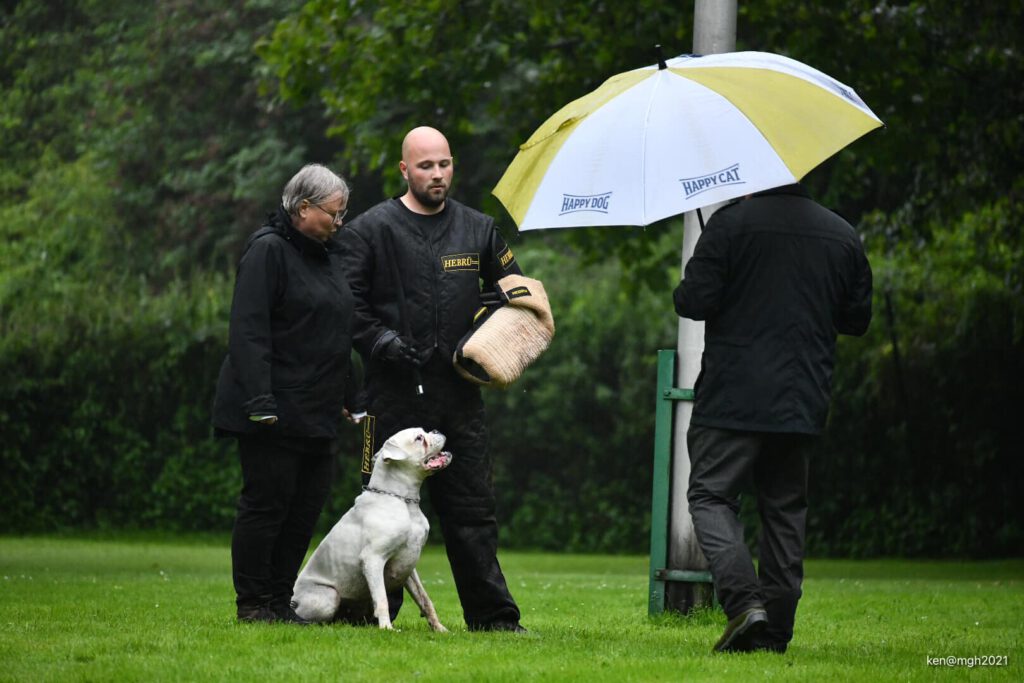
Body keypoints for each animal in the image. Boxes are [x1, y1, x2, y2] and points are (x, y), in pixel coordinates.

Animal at [288, 428, 448, 630]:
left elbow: (424, 599)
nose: (435, 430)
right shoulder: (373, 559)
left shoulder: (409, 564)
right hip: (328, 597)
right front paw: (387, 628)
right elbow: (382, 598)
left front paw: (439, 629)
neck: (403, 500)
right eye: (419, 438)